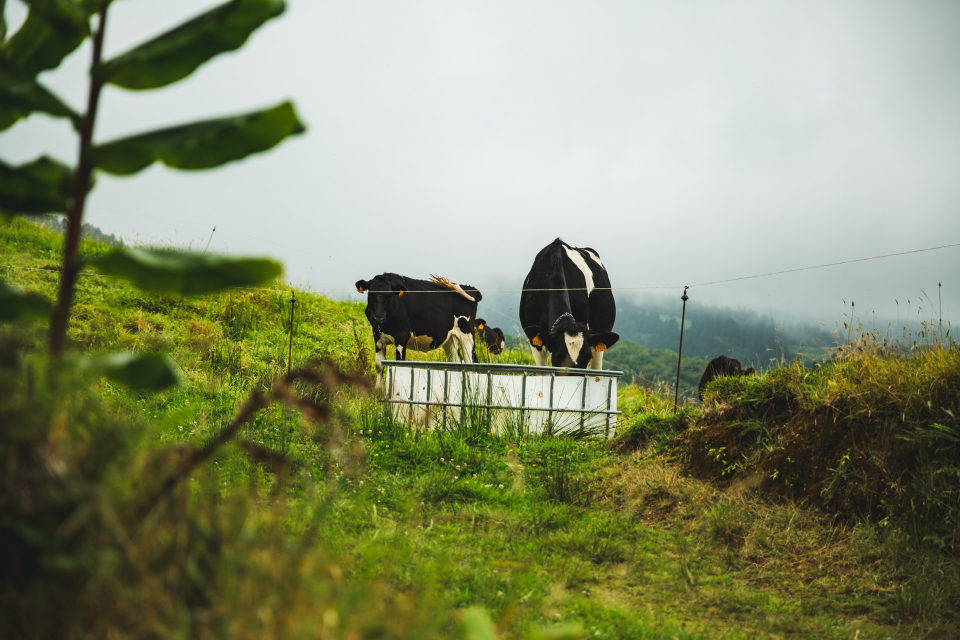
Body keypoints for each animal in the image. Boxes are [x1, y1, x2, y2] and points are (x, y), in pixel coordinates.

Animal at [356, 272, 484, 376]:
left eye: (389, 296)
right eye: (370, 294)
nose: (378, 318)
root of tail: (470, 288)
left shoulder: (401, 337)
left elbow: (399, 364)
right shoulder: (377, 337)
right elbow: (379, 365)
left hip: (467, 335)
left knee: (471, 363)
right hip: (450, 339)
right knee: (457, 363)